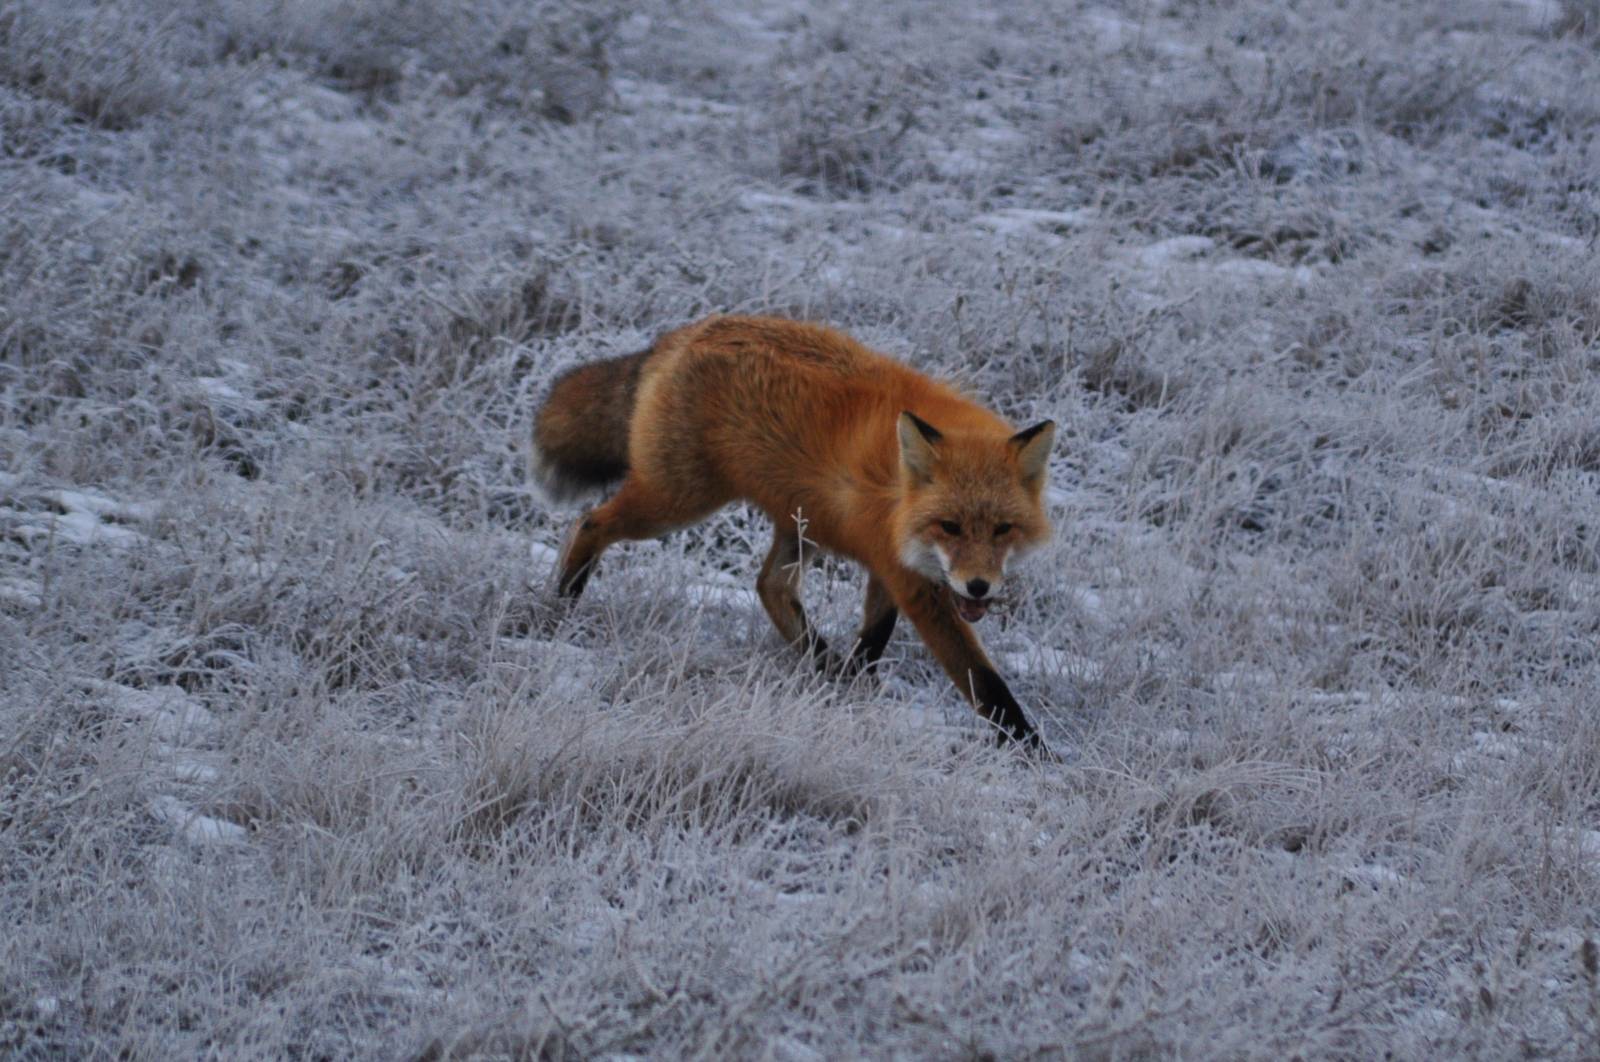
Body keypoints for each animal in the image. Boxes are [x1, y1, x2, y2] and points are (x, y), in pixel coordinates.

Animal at [531, 315, 1057, 752]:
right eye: (949, 526)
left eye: (1002, 529)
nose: (978, 587)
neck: (899, 492)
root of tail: (680, 335)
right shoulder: (912, 581)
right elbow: (984, 683)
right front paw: (1036, 755)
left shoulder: (888, 560)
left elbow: (874, 636)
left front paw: (853, 684)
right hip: (676, 502)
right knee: (589, 523)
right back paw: (563, 601)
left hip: (799, 524)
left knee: (770, 586)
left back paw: (821, 663)